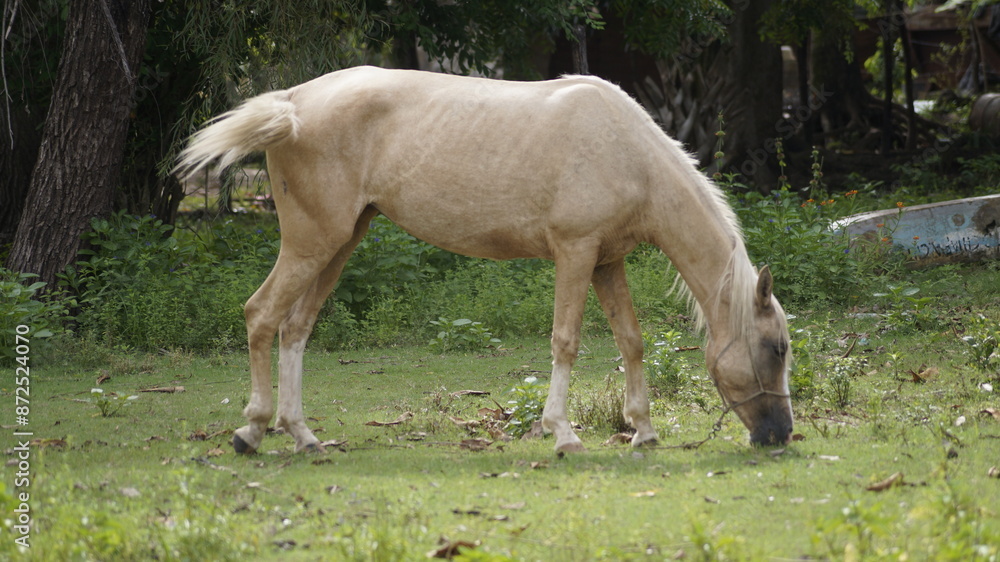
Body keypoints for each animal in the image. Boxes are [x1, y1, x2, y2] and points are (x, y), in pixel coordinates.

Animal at [175, 65, 793, 454]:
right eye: (776, 348)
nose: (781, 433)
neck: (626, 150)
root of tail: (292, 103)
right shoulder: (575, 254)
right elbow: (566, 341)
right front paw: (564, 434)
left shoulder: (605, 262)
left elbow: (631, 342)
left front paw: (642, 431)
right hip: (312, 245)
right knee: (261, 315)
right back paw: (252, 433)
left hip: (339, 245)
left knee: (296, 328)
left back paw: (303, 436)